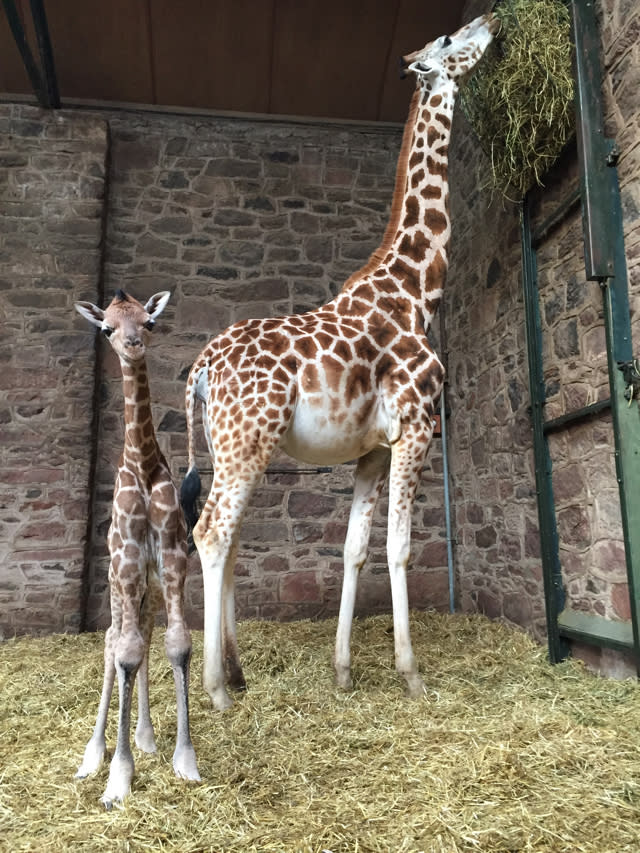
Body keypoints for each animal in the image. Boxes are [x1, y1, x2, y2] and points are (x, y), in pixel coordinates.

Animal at [182, 13, 498, 708]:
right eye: (446, 42)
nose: (491, 21)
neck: (414, 291)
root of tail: (200, 370)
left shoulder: (372, 449)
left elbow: (353, 549)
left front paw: (344, 671)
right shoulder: (417, 427)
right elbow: (400, 548)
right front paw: (411, 674)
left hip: (230, 445)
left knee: (229, 535)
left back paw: (237, 674)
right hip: (248, 441)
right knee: (211, 531)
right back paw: (216, 692)